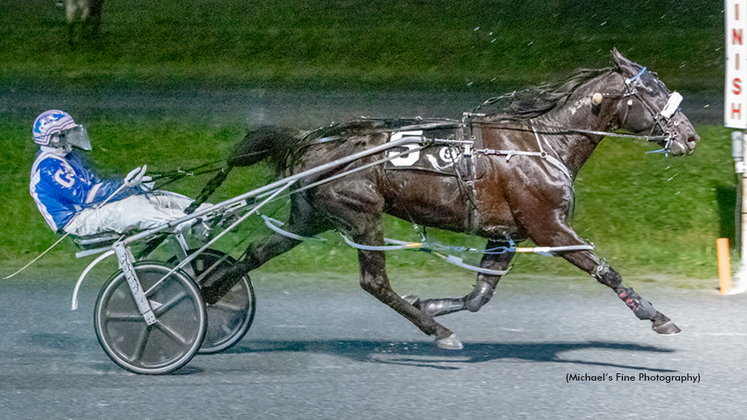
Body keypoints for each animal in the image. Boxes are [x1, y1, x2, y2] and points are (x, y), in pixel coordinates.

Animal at [202, 49, 700, 350]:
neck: (541, 142)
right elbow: (605, 270)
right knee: (374, 283)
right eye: (652, 91)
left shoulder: (505, 235)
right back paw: (438, 331)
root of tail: (311, 141)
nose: (692, 137)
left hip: (311, 216)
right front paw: (657, 316)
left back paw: (208, 295)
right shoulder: (549, 228)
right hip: (362, 215)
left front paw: (431, 303)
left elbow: (480, 294)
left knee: (255, 251)